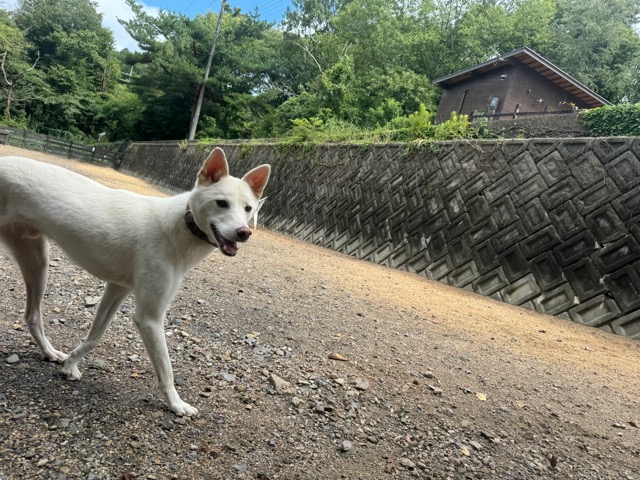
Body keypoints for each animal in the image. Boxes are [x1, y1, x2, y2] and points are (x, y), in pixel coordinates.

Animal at [0, 147, 270, 416]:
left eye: (248, 208)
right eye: (221, 203)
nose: (244, 232)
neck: (181, 225)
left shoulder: (117, 289)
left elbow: (95, 336)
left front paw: (69, 365)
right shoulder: (149, 318)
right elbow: (166, 368)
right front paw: (176, 404)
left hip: (37, 262)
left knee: (32, 317)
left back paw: (49, 352)